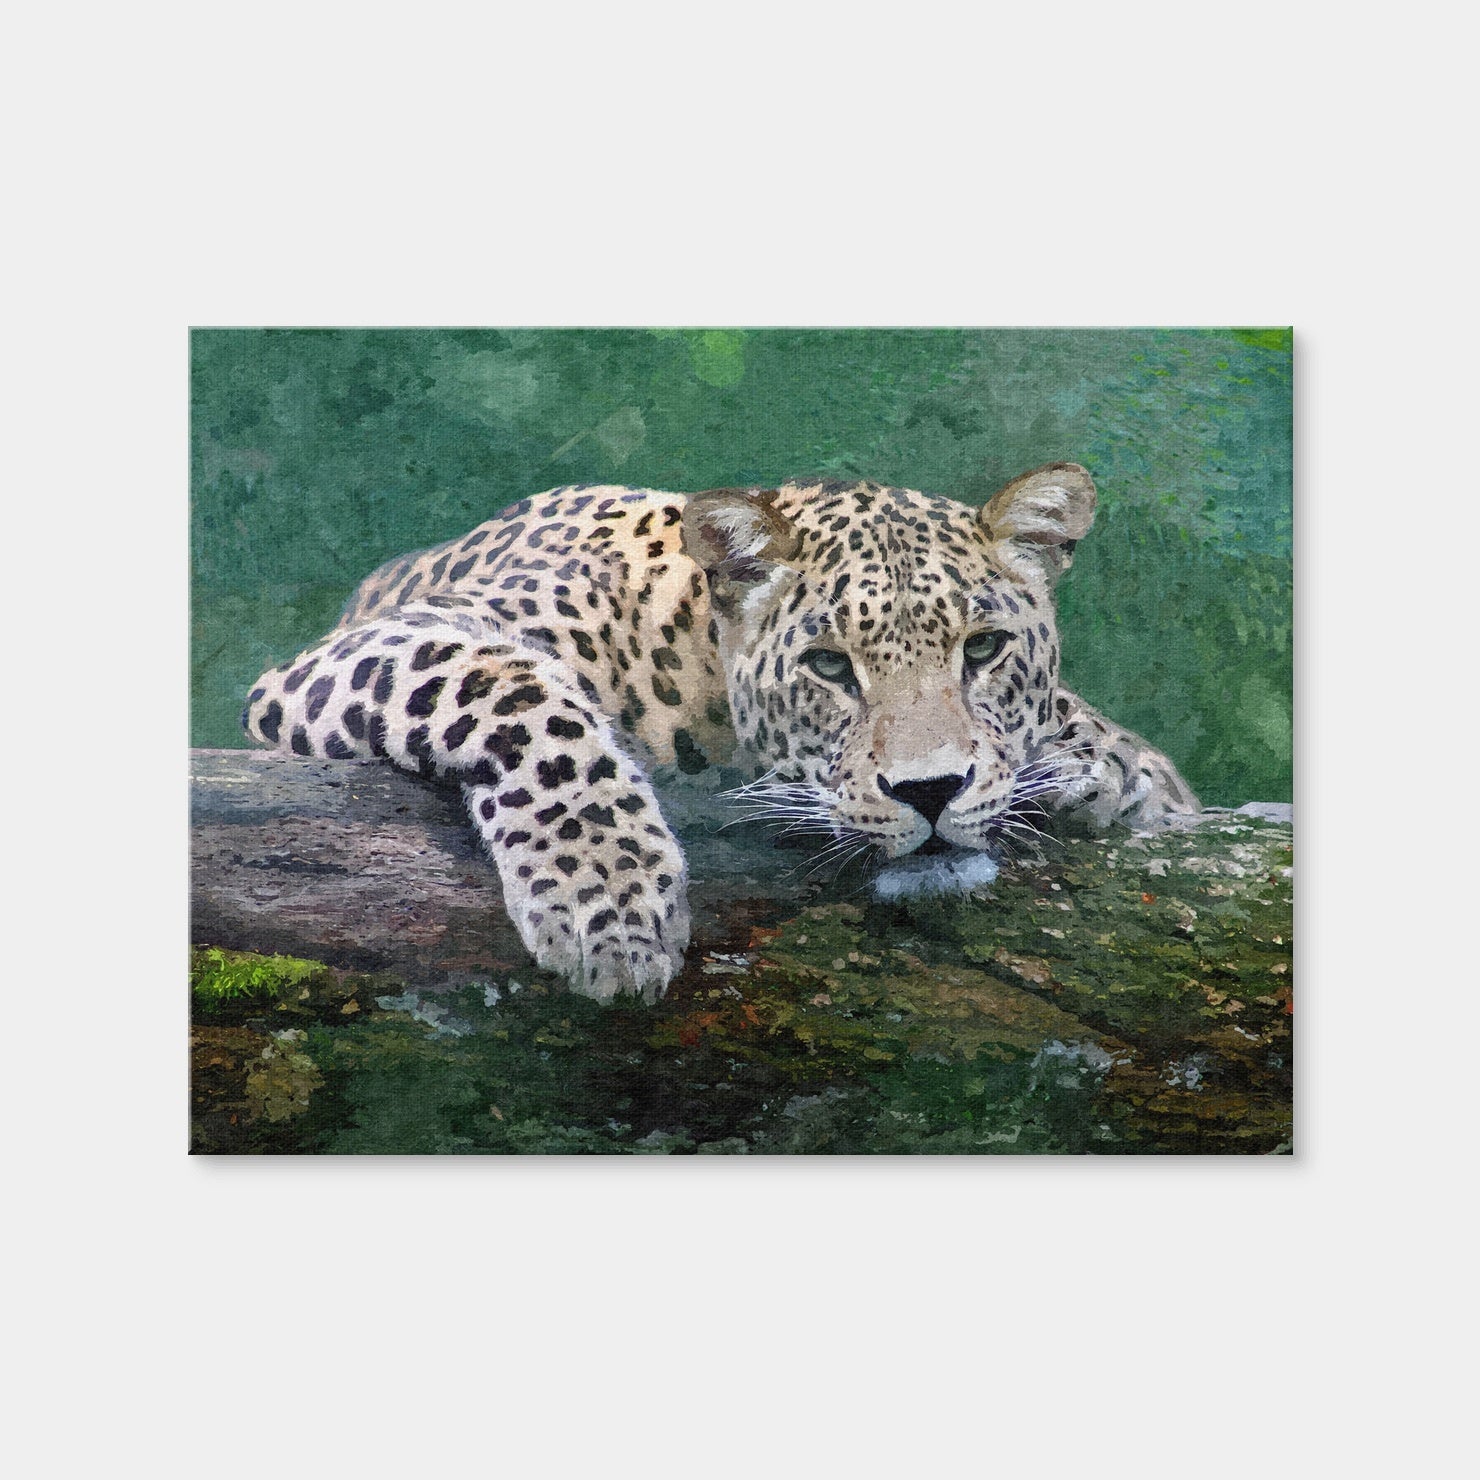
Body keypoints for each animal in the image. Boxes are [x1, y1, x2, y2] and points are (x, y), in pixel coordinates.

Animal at [243, 462, 1200, 1001]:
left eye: (986, 649)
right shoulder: (379, 645)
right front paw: (610, 905)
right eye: (828, 666)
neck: (693, 663)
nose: (930, 792)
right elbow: (523, 698)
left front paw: (1106, 771)